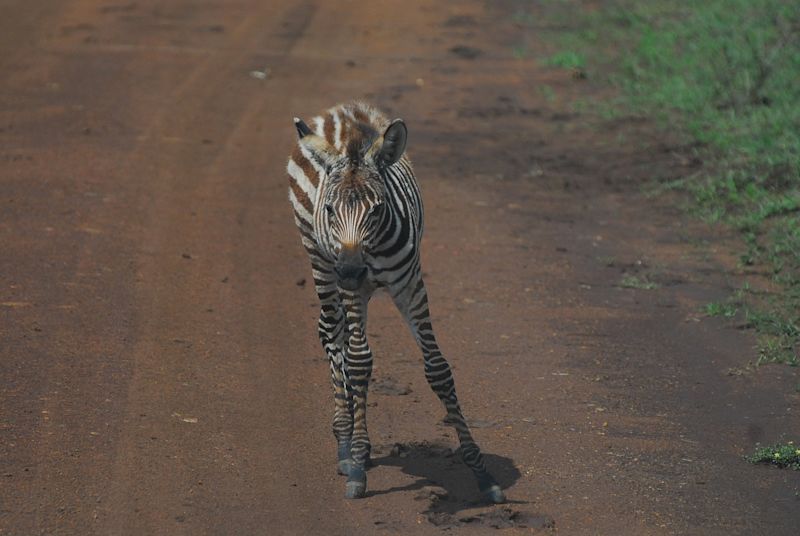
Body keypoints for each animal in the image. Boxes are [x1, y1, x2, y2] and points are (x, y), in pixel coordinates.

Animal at [284, 101, 504, 502]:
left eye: (377, 208)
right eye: (329, 210)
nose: (350, 270)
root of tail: (339, 109)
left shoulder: (410, 285)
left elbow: (438, 369)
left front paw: (481, 472)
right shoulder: (351, 284)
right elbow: (358, 363)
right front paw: (356, 466)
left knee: (340, 337)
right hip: (320, 260)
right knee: (331, 333)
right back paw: (345, 442)